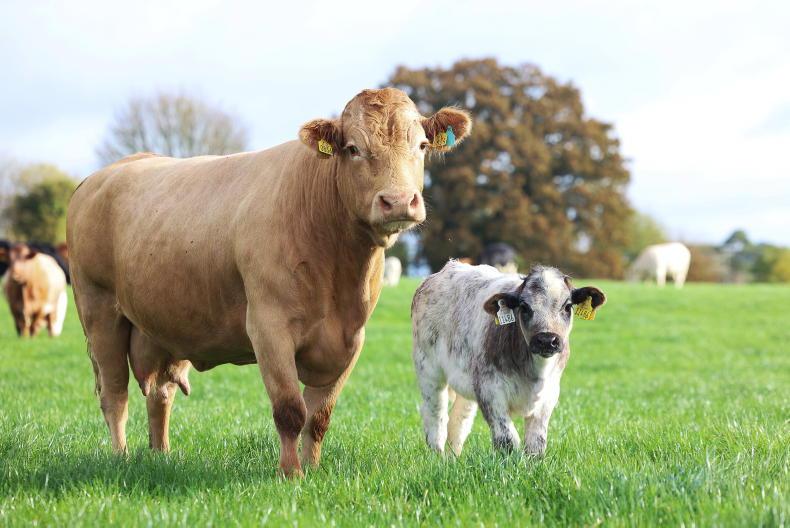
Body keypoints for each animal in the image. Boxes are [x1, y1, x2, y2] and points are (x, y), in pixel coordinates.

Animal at [67, 88, 472, 477]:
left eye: (422, 146)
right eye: (353, 148)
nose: (399, 201)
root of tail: (105, 173)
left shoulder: (350, 339)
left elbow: (319, 417)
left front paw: (313, 468)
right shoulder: (268, 328)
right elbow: (290, 410)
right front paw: (291, 473)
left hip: (161, 325)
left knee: (159, 393)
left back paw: (160, 455)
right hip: (99, 311)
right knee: (114, 394)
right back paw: (121, 456)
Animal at [411, 261, 605, 456]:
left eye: (567, 306)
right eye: (524, 306)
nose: (546, 340)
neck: (535, 375)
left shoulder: (549, 395)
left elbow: (536, 444)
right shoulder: (490, 391)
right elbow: (508, 440)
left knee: (459, 423)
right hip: (428, 370)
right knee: (435, 418)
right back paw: (438, 456)